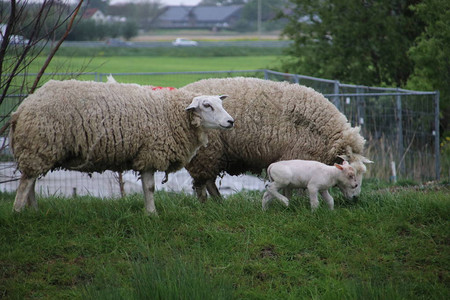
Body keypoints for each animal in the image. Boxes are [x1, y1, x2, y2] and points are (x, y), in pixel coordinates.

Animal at [9, 79, 236, 216]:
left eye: (220, 104)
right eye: (207, 105)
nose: (231, 121)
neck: (171, 112)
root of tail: (22, 107)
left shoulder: (145, 154)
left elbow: (147, 187)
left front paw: (149, 212)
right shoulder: (149, 153)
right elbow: (150, 188)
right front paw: (152, 214)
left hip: (39, 149)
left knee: (30, 181)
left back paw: (34, 210)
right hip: (38, 144)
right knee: (26, 182)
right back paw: (19, 211)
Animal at [181, 77, 374, 203]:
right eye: (351, 175)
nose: (356, 199)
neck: (323, 134)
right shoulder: (297, 157)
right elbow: (299, 188)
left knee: (206, 181)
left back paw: (219, 203)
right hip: (206, 153)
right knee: (203, 183)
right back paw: (209, 204)